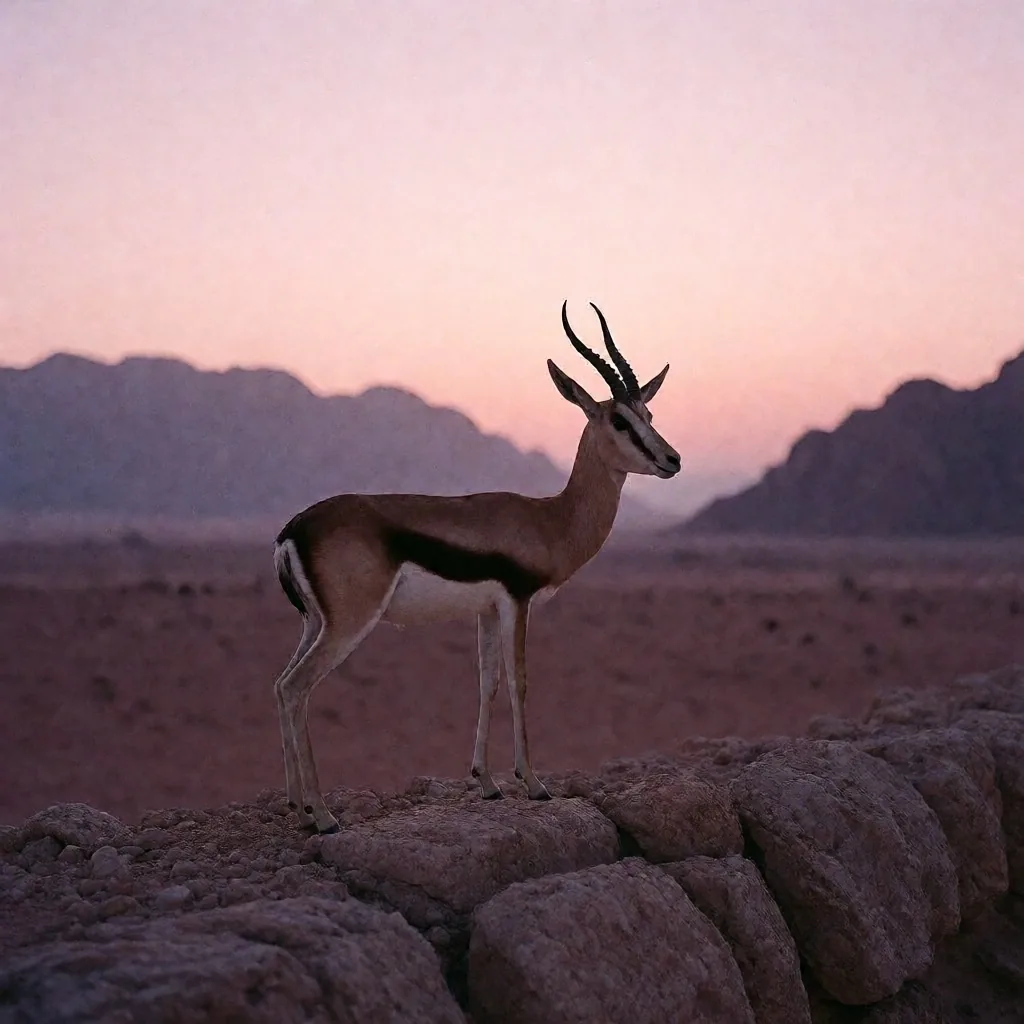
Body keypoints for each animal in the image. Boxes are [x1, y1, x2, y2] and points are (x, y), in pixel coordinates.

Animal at [272, 301, 681, 833]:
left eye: (647, 413)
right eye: (618, 420)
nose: (672, 459)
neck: (551, 519)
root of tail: (293, 528)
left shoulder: (486, 610)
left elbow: (487, 683)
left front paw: (487, 783)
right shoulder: (517, 602)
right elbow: (519, 682)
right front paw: (534, 783)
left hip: (314, 623)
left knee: (281, 687)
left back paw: (298, 808)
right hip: (347, 626)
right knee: (297, 688)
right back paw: (322, 816)